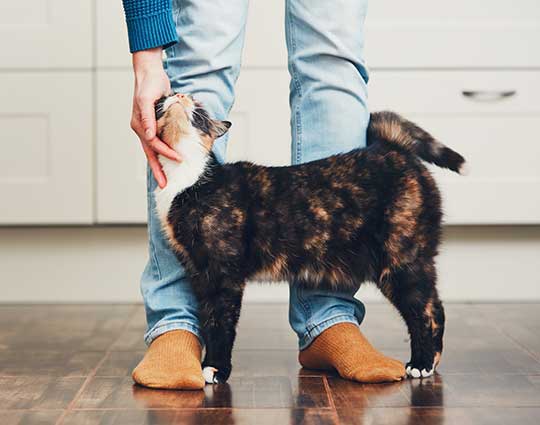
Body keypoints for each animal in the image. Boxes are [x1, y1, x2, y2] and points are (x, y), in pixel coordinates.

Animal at [154, 93, 466, 384]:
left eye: (199, 108)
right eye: (163, 99)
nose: (179, 95)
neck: (188, 179)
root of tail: (391, 148)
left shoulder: (224, 275)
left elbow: (221, 324)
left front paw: (216, 369)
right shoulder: (199, 273)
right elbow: (208, 320)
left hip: (401, 260)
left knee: (427, 311)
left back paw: (421, 363)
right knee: (431, 307)